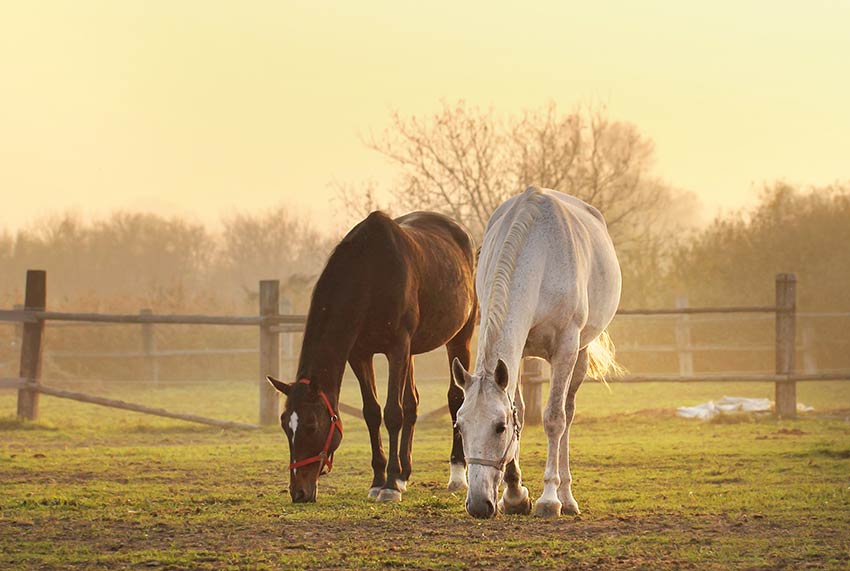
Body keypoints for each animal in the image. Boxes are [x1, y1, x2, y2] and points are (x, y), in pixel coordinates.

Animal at [266, 212, 474, 502]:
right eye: (286, 425)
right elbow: (372, 413)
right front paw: (379, 480)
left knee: (455, 397)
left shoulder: (397, 348)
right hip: (412, 351)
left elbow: (393, 413)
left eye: (311, 425)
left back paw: (456, 475)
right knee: (412, 403)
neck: (371, 273)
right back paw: (405, 474)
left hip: (459, 337)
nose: (299, 492)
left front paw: (389, 485)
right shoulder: (360, 354)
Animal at [450, 188, 624, 520]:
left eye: (499, 427)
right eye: (459, 426)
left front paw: (549, 499)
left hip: (579, 354)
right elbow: (518, 407)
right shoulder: (516, 355)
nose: (478, 504)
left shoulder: (566, 348)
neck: (538, 255)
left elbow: (554, 418)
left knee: (567, 414)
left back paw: (566, 498)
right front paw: (514, 495)